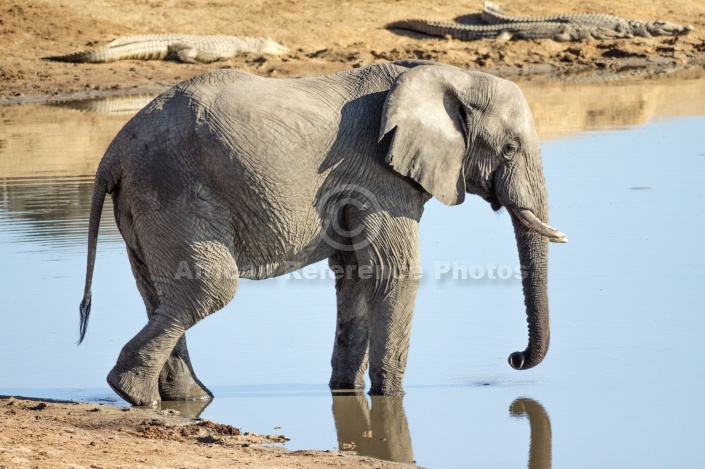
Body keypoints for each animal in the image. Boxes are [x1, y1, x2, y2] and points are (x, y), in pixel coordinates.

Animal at [77, 59, 564, 406]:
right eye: (509, 148)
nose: (514, 358)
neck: (449, 75)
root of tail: (112, 154)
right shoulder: (379, 174)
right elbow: (394, 272)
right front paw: (391, 398)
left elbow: (356, 275)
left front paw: (347, 393)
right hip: (172, 189)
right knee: (209, 287)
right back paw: (133, 393)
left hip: (142, 202)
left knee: (161, 293)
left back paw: (181, 399)